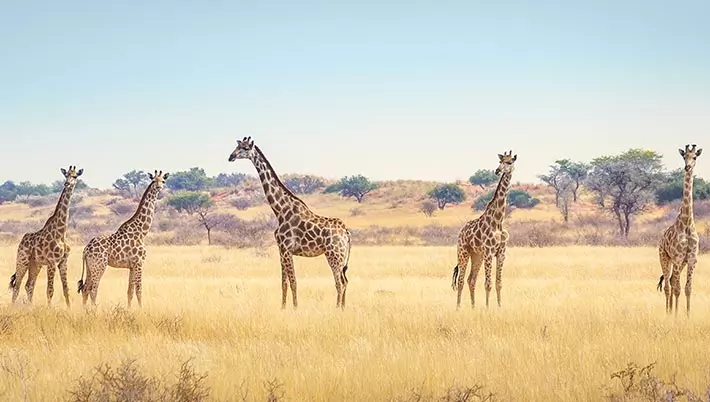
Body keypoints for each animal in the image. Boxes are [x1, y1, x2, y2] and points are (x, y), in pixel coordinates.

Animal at [8, 165, 84, 307]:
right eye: (66, 175)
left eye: (75, 176)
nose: (67, 183)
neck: (61, 233)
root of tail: (22, 240)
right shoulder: (52, 262)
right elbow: (50, 290)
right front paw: (49, 309)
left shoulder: (63, 262)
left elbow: (66, 289)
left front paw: (69, 308)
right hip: (22, 260)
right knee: (17, 286)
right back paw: (13, 307)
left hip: (35, 264)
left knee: (29, 285)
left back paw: (30, 307)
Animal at [77, 170, 168, 307]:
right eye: (153, 180)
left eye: (163, 181)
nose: (159, 187)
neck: (142, 232)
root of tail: (86, 249)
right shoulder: (139, 263)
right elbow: (139, 290)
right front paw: (142, 310)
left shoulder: (132, 266)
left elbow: (130, 291)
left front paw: (129, 310)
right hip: (99, 265)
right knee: (93, 289)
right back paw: (94, 310)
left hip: (90, 266)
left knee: (86, 288)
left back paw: (85, 310)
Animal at [228, 136, 352, 309]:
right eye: (237, 146)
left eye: (245, 148)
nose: (230, 156)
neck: (280, 210)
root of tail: (346, 233)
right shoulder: (281, 250)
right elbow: (284, 283)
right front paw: (283, 307)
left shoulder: (286, 249)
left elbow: (293, 282)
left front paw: (295, 308)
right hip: (341, 257)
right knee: (345, 281)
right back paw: (343, 308)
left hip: (334, 254)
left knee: (339, 283)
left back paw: (337, 308)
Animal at [451, 151, 517, 309]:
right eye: (500, 161)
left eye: (510, 162)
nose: (497, 171)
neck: (498, 221)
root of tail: (461, 232)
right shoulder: (489, 252)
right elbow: (488, 284)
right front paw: (487, 309)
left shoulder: (501, 253)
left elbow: (498, 283)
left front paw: (499, 307)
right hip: (463, 251)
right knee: (461, 280)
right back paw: (458, 308)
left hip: (477, 255)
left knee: (471, 279)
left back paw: (473, 308)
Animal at [657, 144, 702, 316]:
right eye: (684, 157)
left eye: (694, 156)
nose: (687, 167)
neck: (687, 223)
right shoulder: (677, 258)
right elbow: (677, 289)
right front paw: (676, 316)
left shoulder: (691, 259)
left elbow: (688, 288)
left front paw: (688, 316)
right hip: (664, 257)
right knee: (668, 285)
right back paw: (668, 313)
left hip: (680, 263)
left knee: (670, 280)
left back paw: (670, 310)